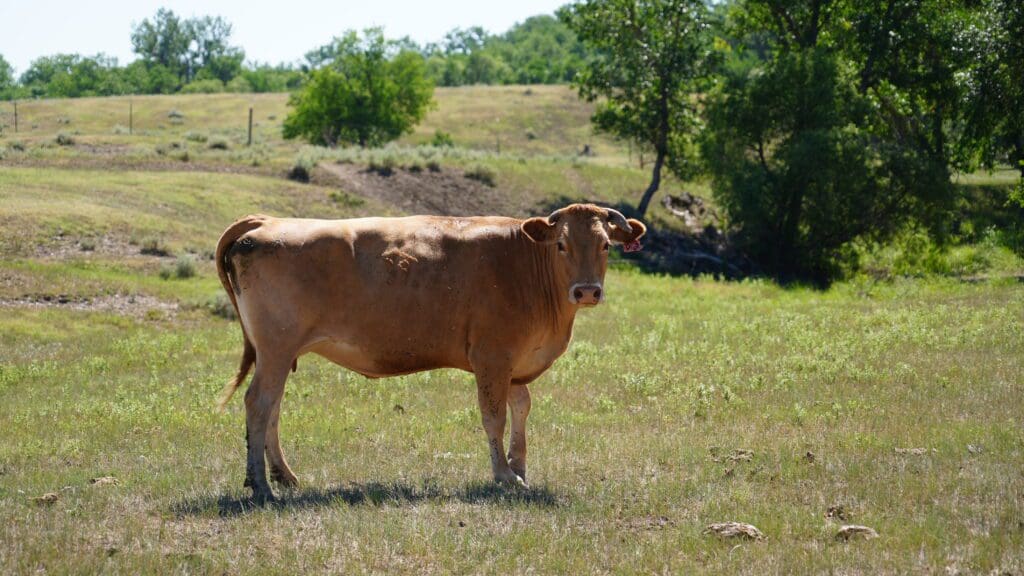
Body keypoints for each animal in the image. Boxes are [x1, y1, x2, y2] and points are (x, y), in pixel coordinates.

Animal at [215, 203, 646, 503]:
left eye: (605, 245)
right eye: (561, 244)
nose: (587, 291)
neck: (525, 264)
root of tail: (266, 221)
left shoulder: (515, 362)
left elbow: (521, 407)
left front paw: (519, 467)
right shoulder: (492, 356)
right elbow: (494, 416)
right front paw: (504, 476)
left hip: (278, 353)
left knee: (273, 406)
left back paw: (283, 476)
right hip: (276, 347)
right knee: (259, 403)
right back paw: (261, 486)